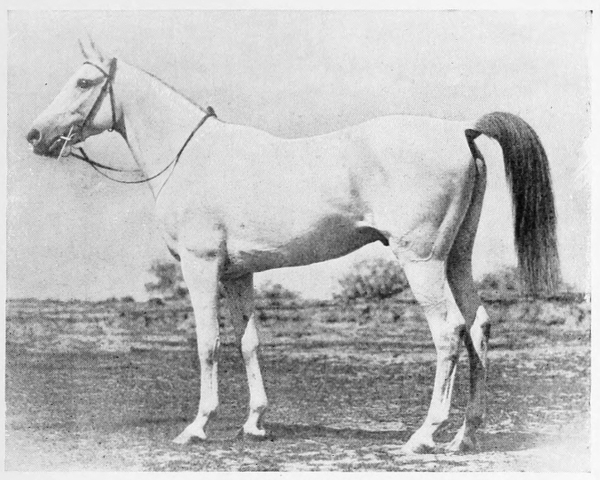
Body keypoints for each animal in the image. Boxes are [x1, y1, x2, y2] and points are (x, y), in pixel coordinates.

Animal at [26, 39, 560, 454]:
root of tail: (462, 131)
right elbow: (248, 342)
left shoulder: (202, 267)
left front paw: (196, 427)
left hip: (422, 261)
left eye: (83, 82)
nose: (34, 135)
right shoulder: (238, 273)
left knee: (449, 332)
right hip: (456, 259)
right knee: (479, 327)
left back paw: (424, 435)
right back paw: (465, 436)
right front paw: (254, 424)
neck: (190, 156)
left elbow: (207, 343)